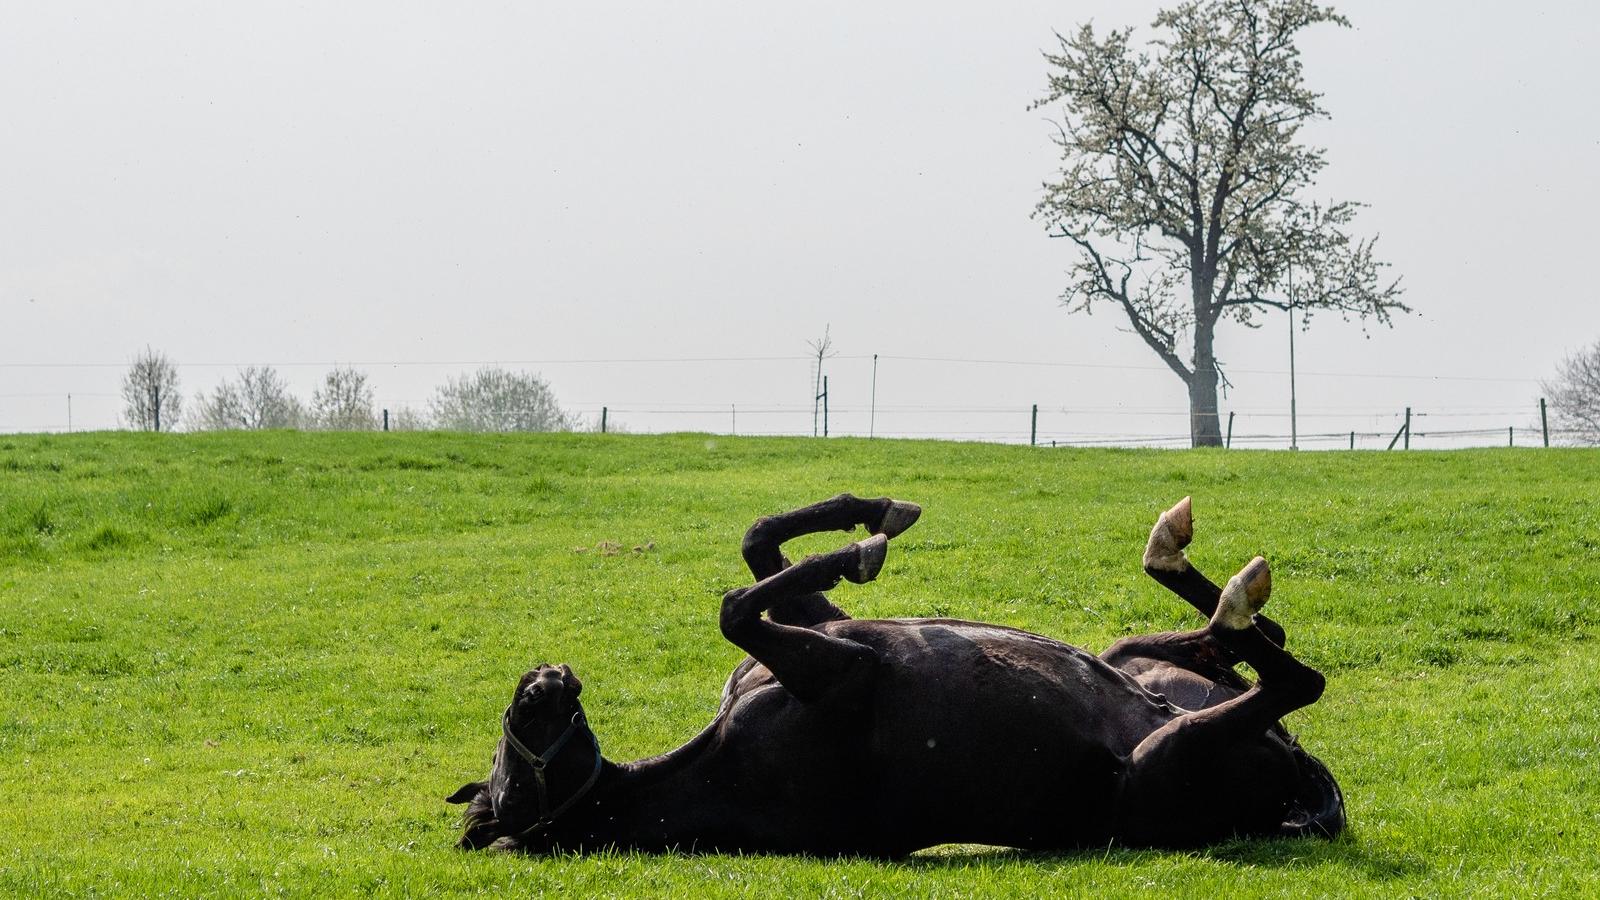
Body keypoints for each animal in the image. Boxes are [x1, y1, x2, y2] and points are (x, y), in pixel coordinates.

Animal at [444, 493, 1344, 851]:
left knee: (1253, 639)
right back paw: (1209, 578)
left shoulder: (820, 634)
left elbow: (757, 547)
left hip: (1138, 663)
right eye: (517, 728)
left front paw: (870, 519)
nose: (545, 678)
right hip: (1169, 756)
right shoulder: (841, 668)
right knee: (1293, 676)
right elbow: (737, 604)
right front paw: (859, 546)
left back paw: (1201, 577)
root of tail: (1310, 795)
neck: (710, 766)